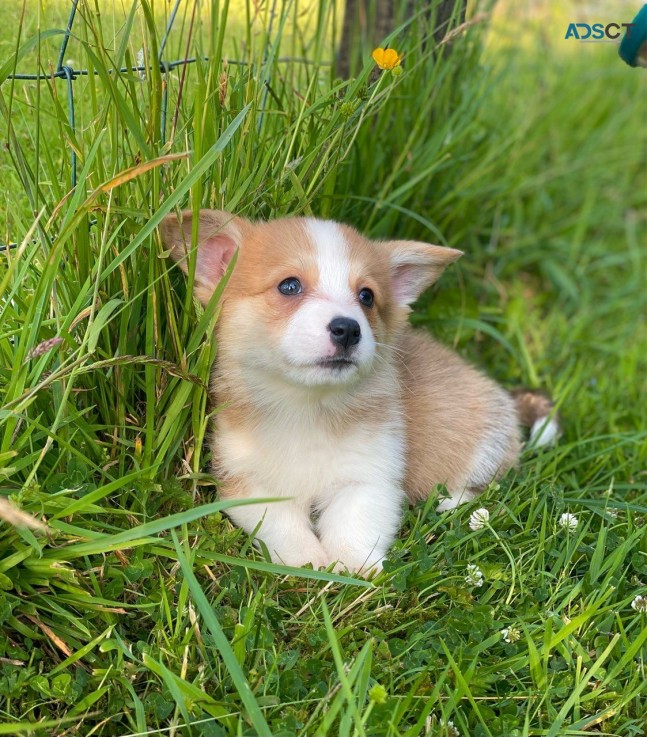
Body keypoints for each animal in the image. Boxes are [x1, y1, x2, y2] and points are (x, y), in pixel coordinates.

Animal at [161, 210, 556, 572]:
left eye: (366, 296)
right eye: (289, 286)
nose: (348, 329)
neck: (306, 405)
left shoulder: (371, 476)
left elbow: (355, 524)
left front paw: (352, 568)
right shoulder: (247, 481)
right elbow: (283, 525)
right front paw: (307, 563)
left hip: (481, 446)